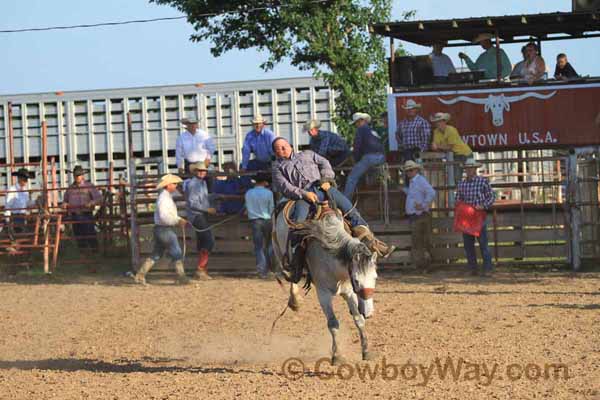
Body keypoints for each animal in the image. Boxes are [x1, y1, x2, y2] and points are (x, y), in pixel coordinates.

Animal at [274, 208, 378, 364]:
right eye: (356, 280)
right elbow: (333, 323)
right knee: (291, 275)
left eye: (375, 278)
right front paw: (337, 356)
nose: (369, 313)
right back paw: (295, 301)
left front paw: (366, 351)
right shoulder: (323, 294)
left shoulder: (349, 292)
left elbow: (359, 320)